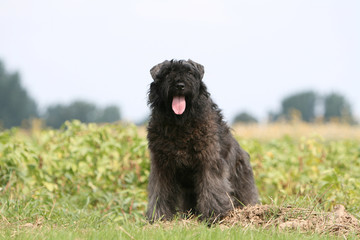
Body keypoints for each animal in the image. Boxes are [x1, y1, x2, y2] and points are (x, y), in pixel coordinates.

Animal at [146, 59, 258, 221]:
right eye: (168, 73)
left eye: (190, 72)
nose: (180, 85)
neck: (181, 124)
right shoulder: (162, 166)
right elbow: (159, 192)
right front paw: (159, 218)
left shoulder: (208, 161)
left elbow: (212, 188)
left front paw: (214, 215)